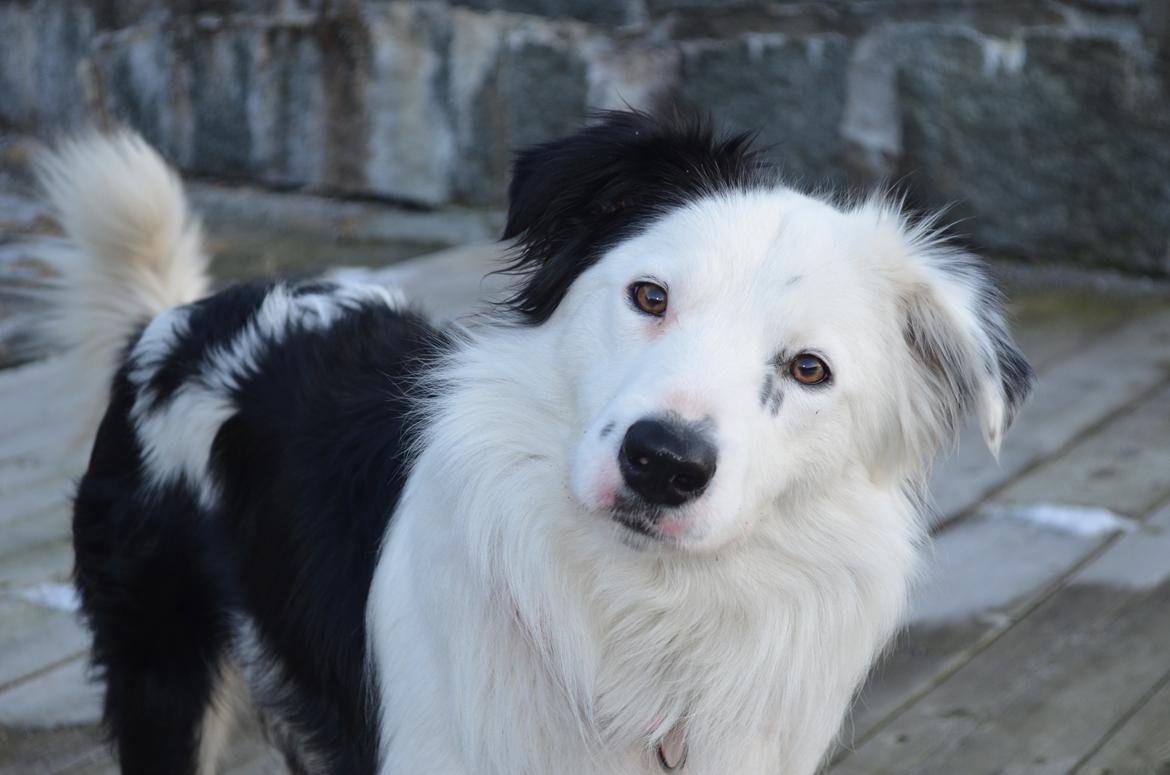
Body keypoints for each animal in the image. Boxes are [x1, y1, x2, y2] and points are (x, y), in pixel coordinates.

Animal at [38, 110, 1034, 775]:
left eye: (809, 368)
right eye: (649, 295)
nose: (663, 462)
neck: (637, 615)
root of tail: (175, 316)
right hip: (162, 661)